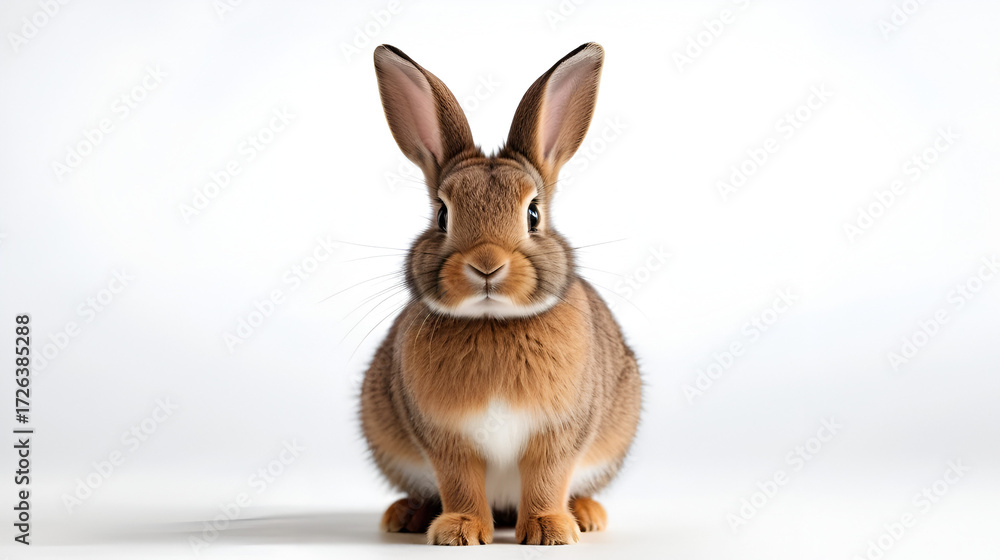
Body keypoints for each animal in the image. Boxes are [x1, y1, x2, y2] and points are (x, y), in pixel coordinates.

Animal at [359, 42, 641, 546]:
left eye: (533, 214)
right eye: (442, 215)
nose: (486, 265)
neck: (492, 320)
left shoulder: (558, 433)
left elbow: (549, 477)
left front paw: (550, 530)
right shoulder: (446, 439)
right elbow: (460, 482)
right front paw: (460, 531)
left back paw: (587, 514)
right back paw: (407, 515)